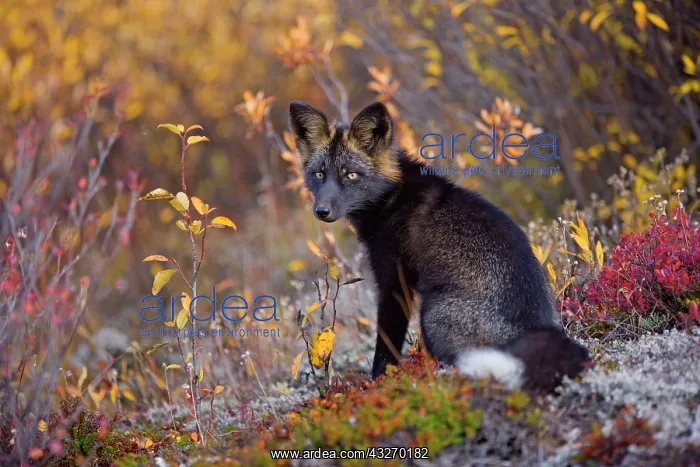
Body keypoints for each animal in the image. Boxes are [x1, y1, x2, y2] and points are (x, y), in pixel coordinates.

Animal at [288, 100, 591, 393]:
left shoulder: (394, 285)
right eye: (319, 175)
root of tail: (536, 329)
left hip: (430, 316)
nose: (321, 211)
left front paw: (377, 385)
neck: (392, 197)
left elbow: (385, 349)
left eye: (350, 175)